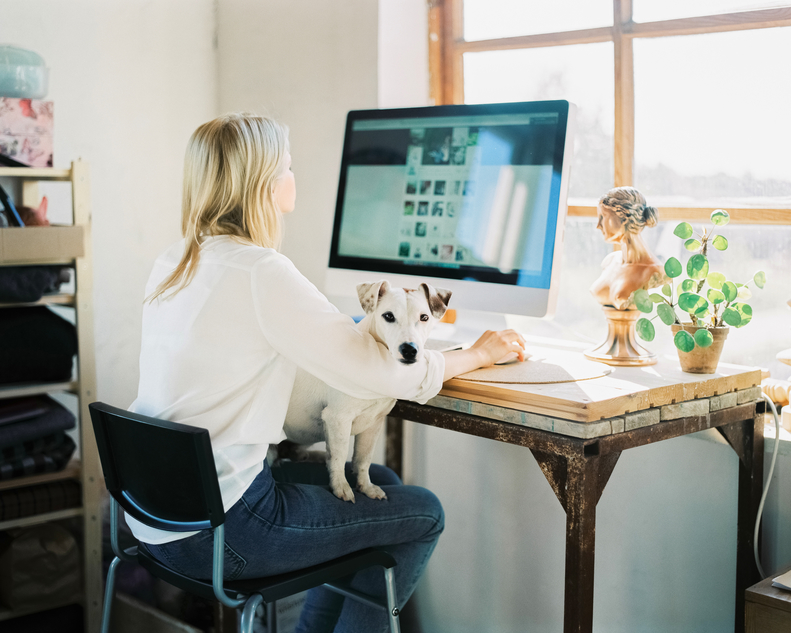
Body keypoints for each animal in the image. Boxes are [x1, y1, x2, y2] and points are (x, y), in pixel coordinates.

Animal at [284, 278, 452, 502]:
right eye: (388, 316)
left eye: (424, 317)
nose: (409, 350)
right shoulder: (337, 419)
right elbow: (339, 457)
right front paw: (340, 486)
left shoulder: (374, 424)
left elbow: (363, 459)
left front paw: (366, 486)